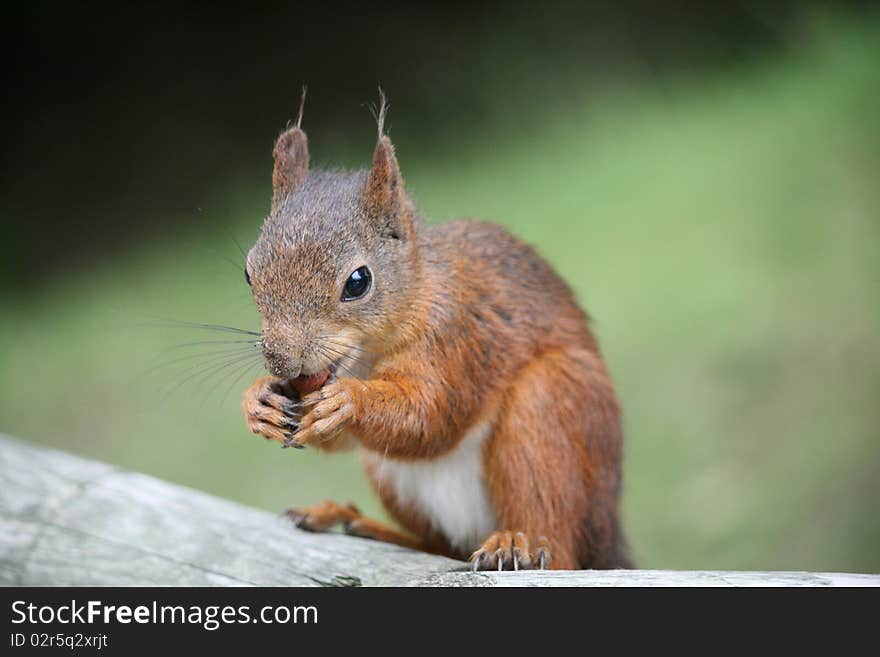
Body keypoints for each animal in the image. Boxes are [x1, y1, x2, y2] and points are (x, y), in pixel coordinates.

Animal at [237, 92, 628, 568]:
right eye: (249, 273)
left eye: (357, 282)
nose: (282, 361)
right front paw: (257, 400)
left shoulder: (457, 334)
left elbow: (431, 414)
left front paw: (350, 401)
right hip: (392, 479)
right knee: (443, 547)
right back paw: (354, 522)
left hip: (550, 409)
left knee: (557, 545)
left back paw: (517, 542)